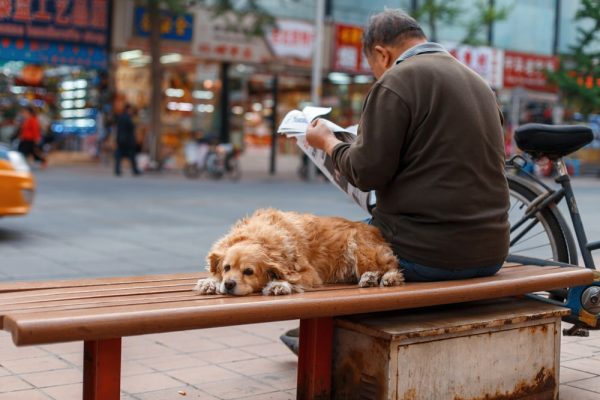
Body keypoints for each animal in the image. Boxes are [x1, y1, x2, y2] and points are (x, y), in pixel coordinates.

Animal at [195, 208, 406, 296]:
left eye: (249, 271)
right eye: (226, 268)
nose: (229, 284)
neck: (259, 237)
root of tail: (376, 231)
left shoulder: (311, 274)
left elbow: (291, 279)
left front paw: (278, 285)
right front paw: (210, 282)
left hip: (358, 248)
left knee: (392, 266)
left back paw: (381, 278)